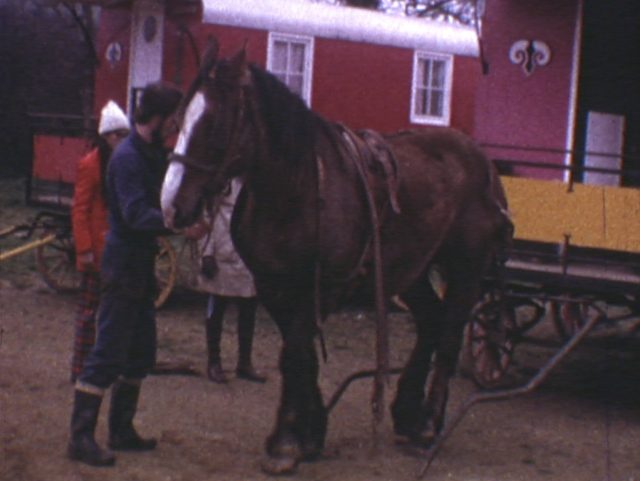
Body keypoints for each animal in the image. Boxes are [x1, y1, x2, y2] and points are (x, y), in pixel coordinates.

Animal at [162, 47, 512, 474]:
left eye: (213, 127)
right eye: (179, 119)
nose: (172, 206)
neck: (296, 189)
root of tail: (481, 160)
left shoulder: (321, 288)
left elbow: (295, 354)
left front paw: (286, 442)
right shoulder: (275, 287)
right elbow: (302, 356)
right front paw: (311, 433)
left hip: (467, 266)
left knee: (449, 332)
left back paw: (429, 422)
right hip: (409, 270)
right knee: (430, 321)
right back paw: (406, 413)